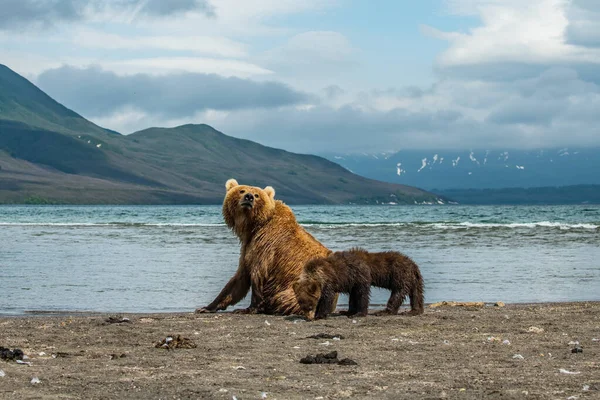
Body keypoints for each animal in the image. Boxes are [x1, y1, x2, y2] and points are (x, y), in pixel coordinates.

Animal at [196, 179, 330, 316]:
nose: (249, 197)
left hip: (298, 289)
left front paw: (247, 308)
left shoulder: (265, 245)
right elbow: (238, 280)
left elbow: (258, 275)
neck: (253, 226)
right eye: (242, 191)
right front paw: (206, 307)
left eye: (256, 195)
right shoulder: (247, 248)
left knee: (283, 298)